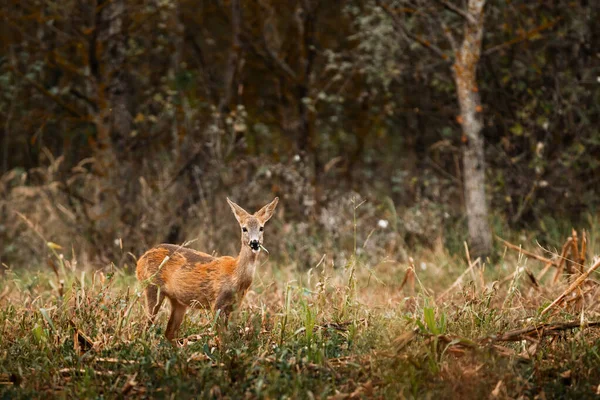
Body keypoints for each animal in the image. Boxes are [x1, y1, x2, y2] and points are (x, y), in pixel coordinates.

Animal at [136, 197, 278, 340]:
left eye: (261, 228)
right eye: (244, 229)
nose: (255, 243)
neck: (235, 276)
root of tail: (140, 260)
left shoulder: (233, 306)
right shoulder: (217, 303)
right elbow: (221, 339)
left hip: (178, 301)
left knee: (169, 333)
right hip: (152, 286)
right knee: (144, 326)